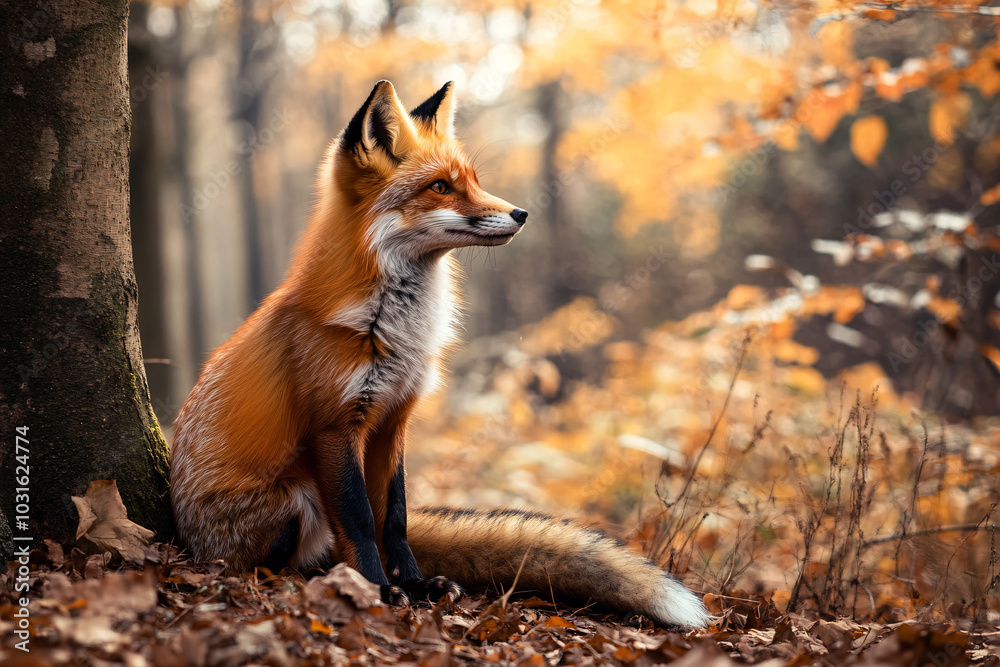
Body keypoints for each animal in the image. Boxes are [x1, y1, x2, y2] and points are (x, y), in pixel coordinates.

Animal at [169, 80, 710, 629]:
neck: (394, 331)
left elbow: (395, 517)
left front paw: (413, 584)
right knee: (291, 555)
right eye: (440, 188)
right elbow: (360, 520)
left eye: (473, 181)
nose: (521, 213)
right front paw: (378, 589)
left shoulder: (393, 419)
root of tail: (189, 538)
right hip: (293, 502)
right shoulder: (335, 425)